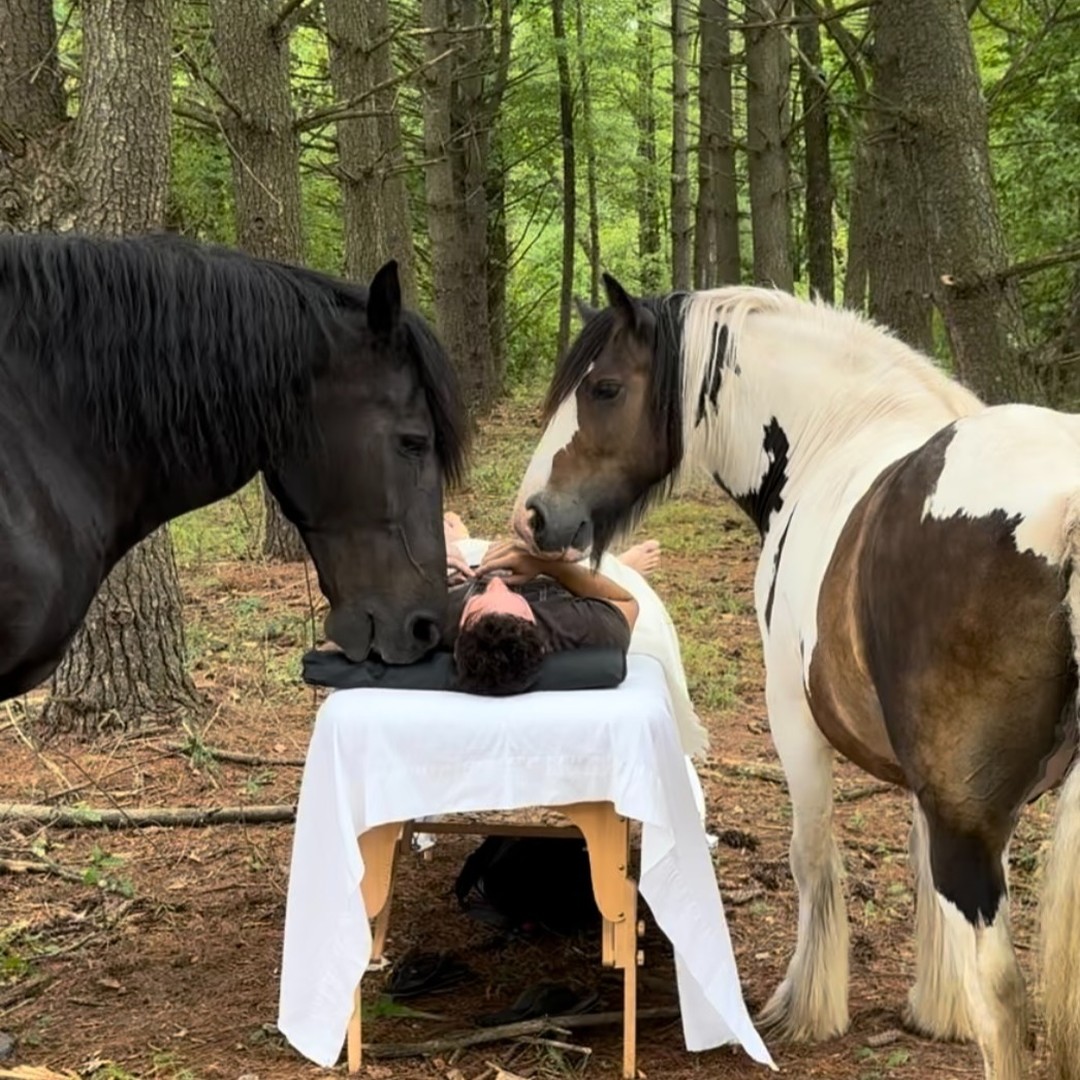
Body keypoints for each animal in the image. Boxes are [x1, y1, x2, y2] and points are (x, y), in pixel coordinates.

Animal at [511, 274, 1080, 1080]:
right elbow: (917, 869)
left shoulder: (795, 719)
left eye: (605, 388)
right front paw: (936, 1009)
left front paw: (808, 1006)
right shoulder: (927, 776)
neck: (836, 436)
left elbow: (812, 858)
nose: (532, 516)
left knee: (1003, 995)